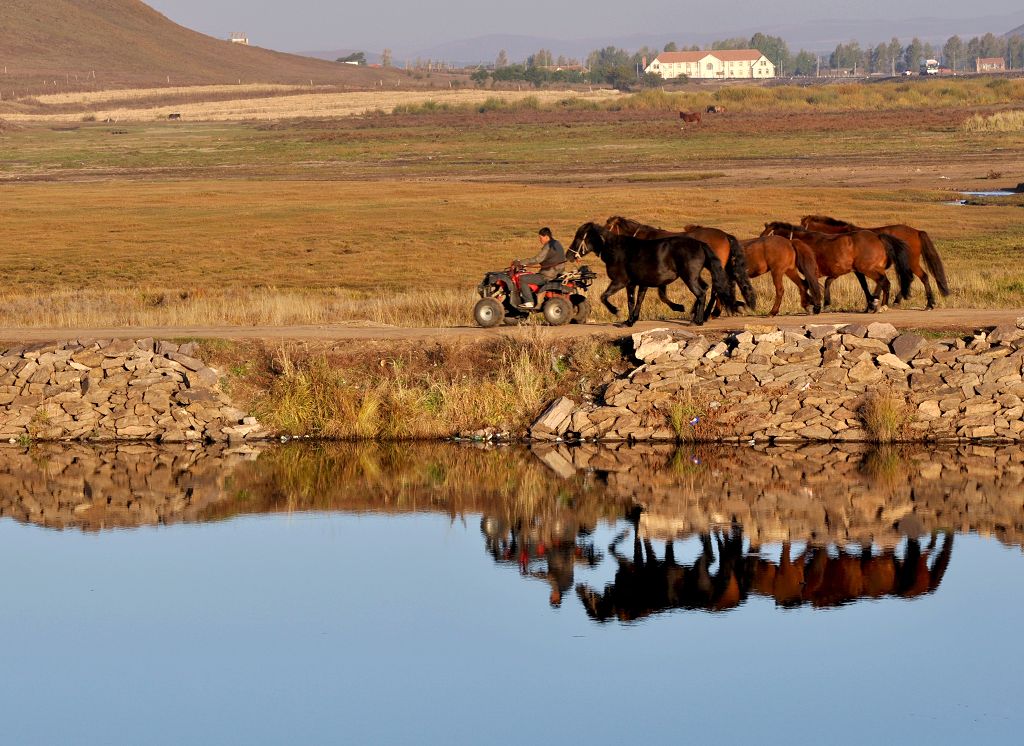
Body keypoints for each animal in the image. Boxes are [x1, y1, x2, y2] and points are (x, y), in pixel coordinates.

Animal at [569, 221, 737, 325]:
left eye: (579, 237)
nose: (569, 255)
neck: (617, 249)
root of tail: (701, 244)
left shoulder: (621, 281)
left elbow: (605, 297)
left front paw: (616, 312)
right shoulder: (639, 283)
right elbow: (636, 301)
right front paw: (631, 320)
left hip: (689, 277)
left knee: (703, 293)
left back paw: (699, 319)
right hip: (696, 276)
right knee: (707, 288)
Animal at [602, 212, 757, 315]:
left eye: (607, 228)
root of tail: (725, 235)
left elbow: (661, 295)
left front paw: (678, 307)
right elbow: (661, 294)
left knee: (716, 288)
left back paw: (709, 313)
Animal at [761, 220, 913, 309]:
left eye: (766, 235)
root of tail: (878, 237)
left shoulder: (812, 272)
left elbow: (812, 285)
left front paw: (814, 304)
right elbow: (825, 283)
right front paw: (823, 303)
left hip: (868, 268)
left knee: (884, 282)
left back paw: (882, 304)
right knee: (881, 282)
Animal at [798, 212, 950, 309]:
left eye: (803, 227)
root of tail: (917, 232)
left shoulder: (858, 269)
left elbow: (864, 285)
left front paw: (871, 303)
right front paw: (872, 302)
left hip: (911, 262)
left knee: (923, 277)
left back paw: (929, 304)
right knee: (909, 278)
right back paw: (897, 301)